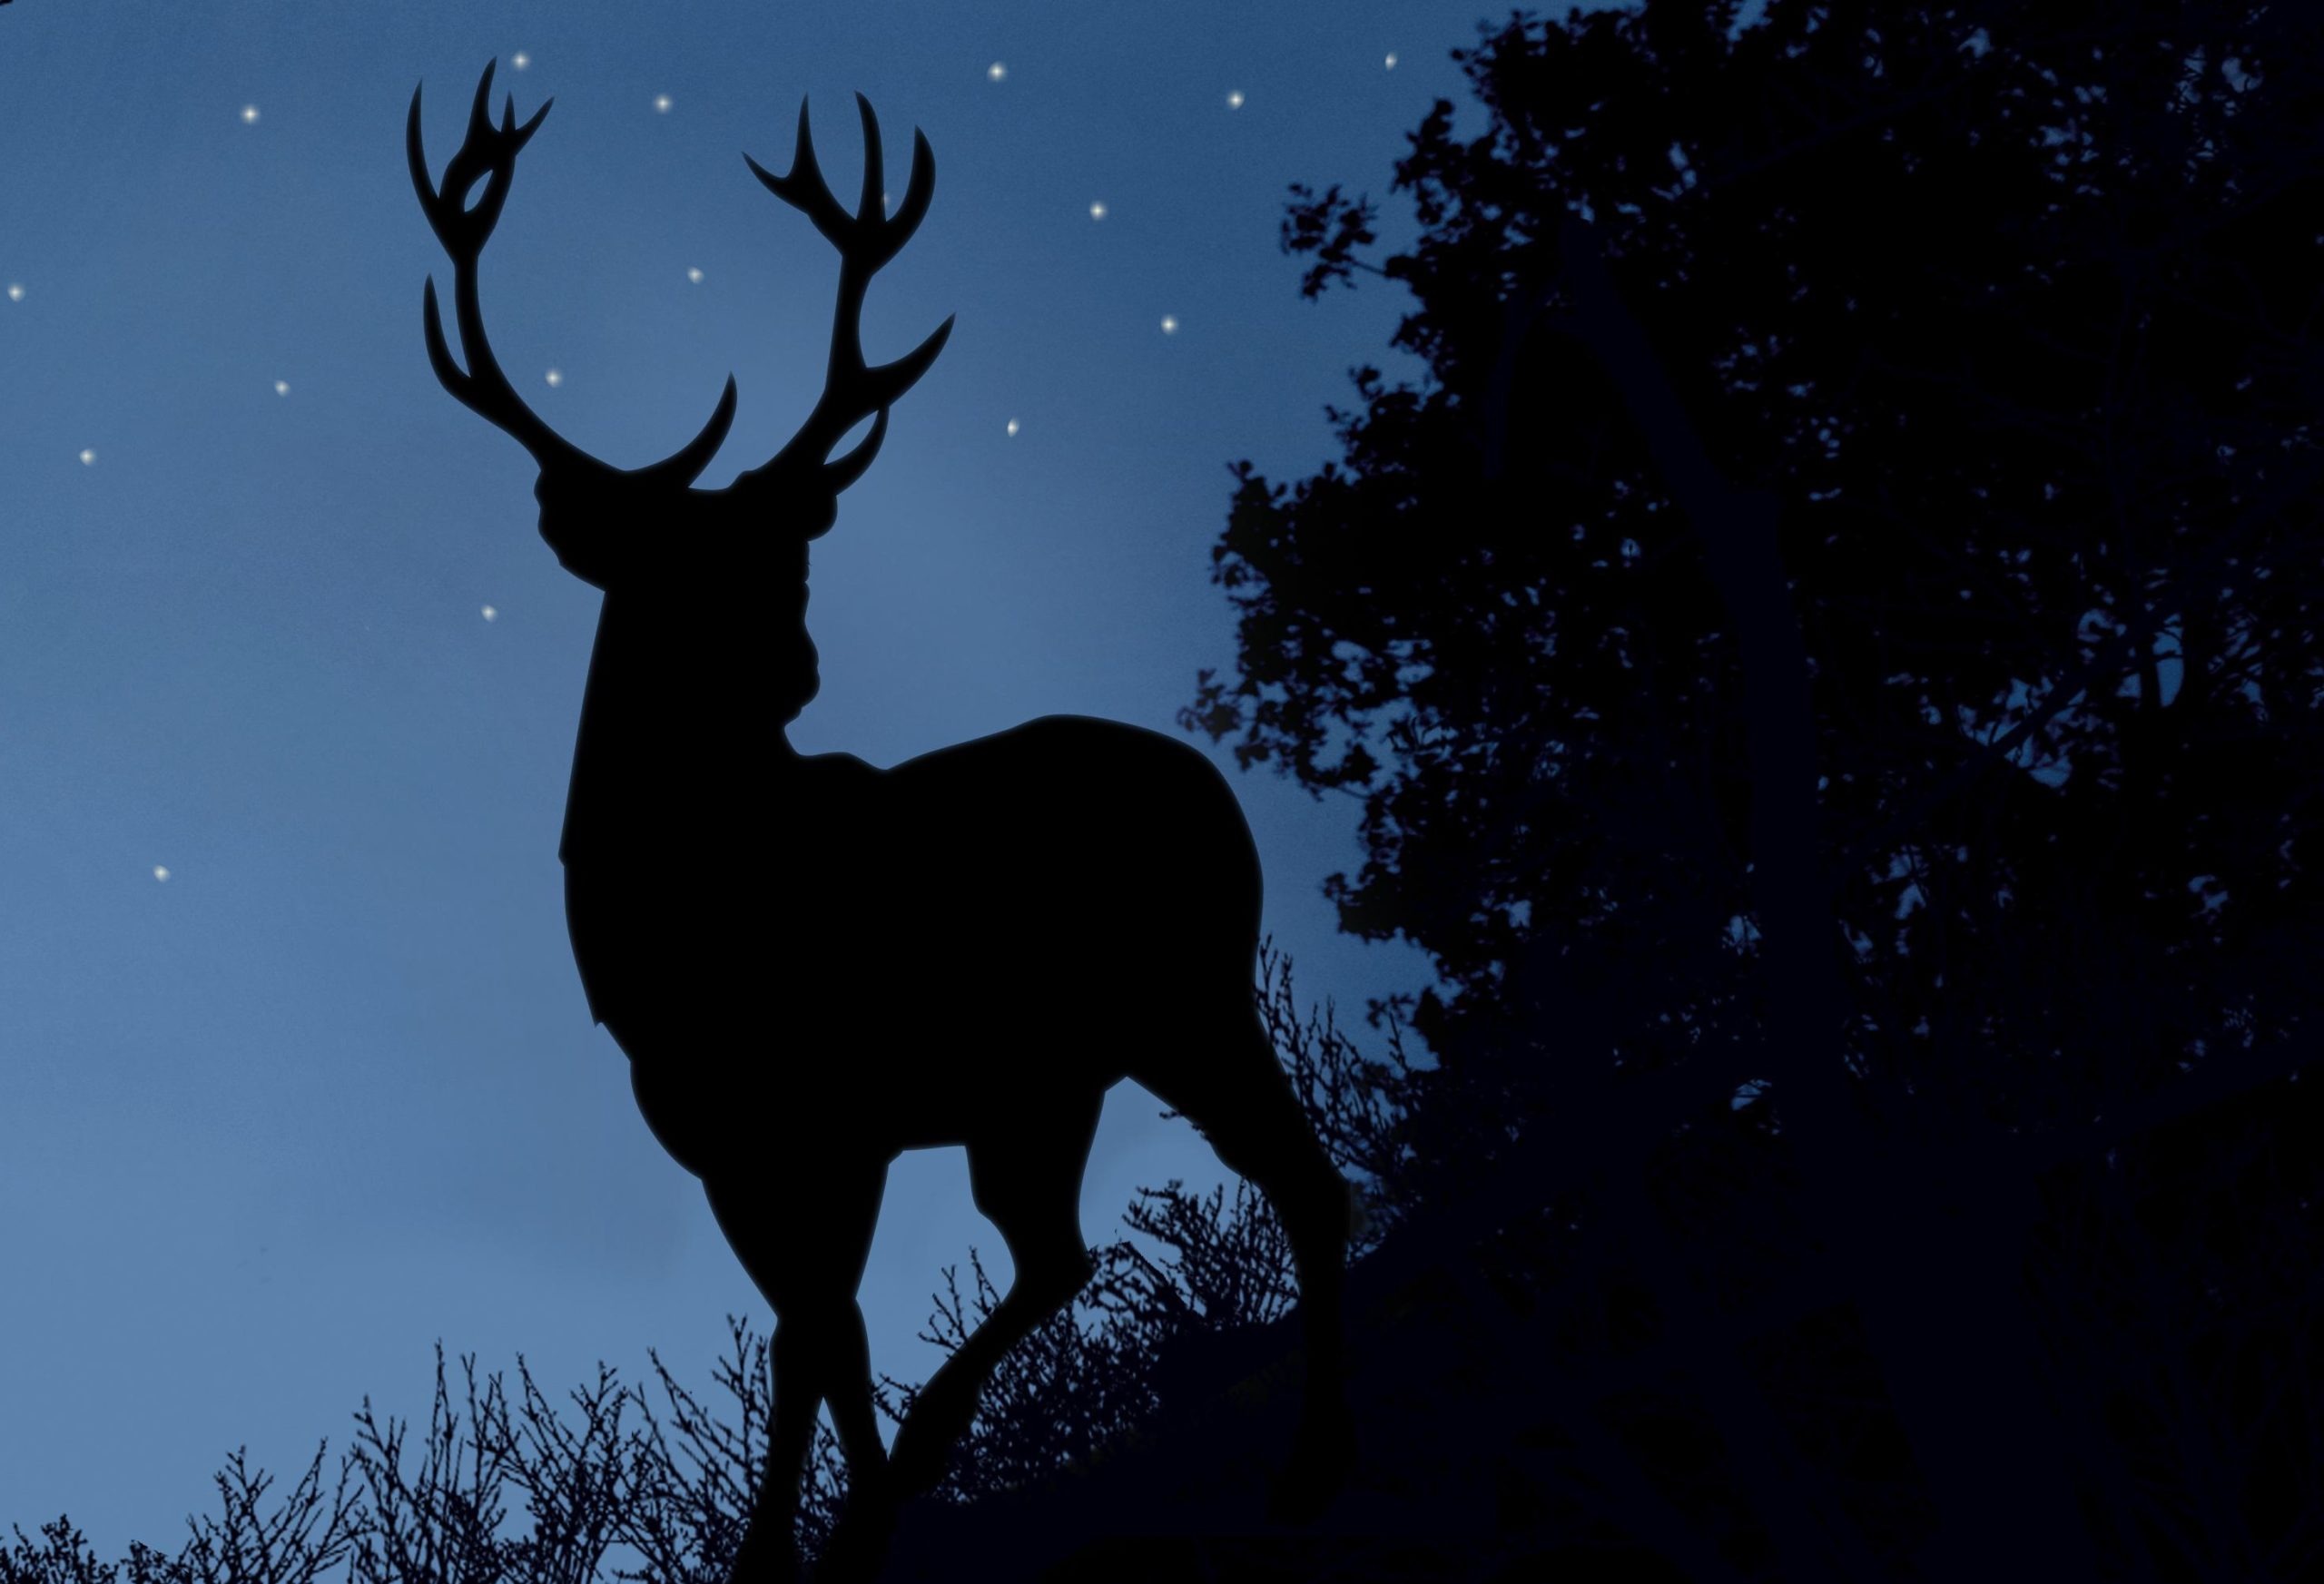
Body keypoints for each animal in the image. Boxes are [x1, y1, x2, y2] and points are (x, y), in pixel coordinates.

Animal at [408, 60, 1366, 1581]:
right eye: (665, 574)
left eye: (787, 559)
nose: (793, 670)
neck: (667, 919)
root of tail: (1216, 787)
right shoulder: (721, 1136)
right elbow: (827, 1334)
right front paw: (836, 1533)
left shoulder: (834, 1112)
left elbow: (813, 1339)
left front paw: (801, 1548)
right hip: (1047, 1075)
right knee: (1062, 1248)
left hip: (1187, 994)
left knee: (1291, 1184)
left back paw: (1306, 1463)